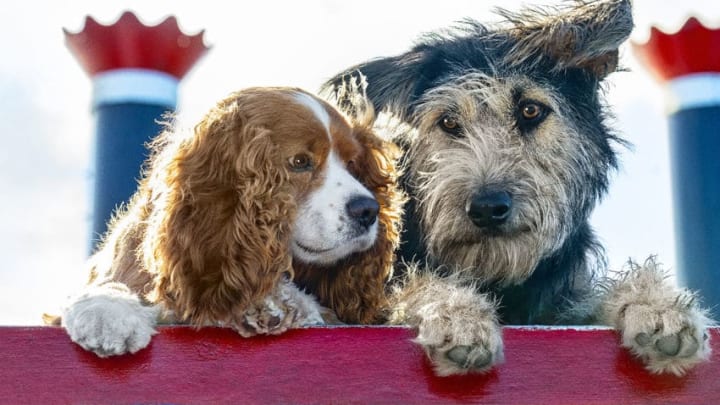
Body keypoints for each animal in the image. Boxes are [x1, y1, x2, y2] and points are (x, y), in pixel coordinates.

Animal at [47, 87, 402, 356]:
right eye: (300, 162)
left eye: (353, 164)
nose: (368, 210)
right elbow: (107, 284)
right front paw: (106, 311)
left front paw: (275, 303)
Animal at [328, 0, 716, 376]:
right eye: (448, 121)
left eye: (530, 110)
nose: (487, 208)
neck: (496, 275)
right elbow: (411, 285)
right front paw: (456, 313)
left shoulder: (557, 306)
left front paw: (657, 305)